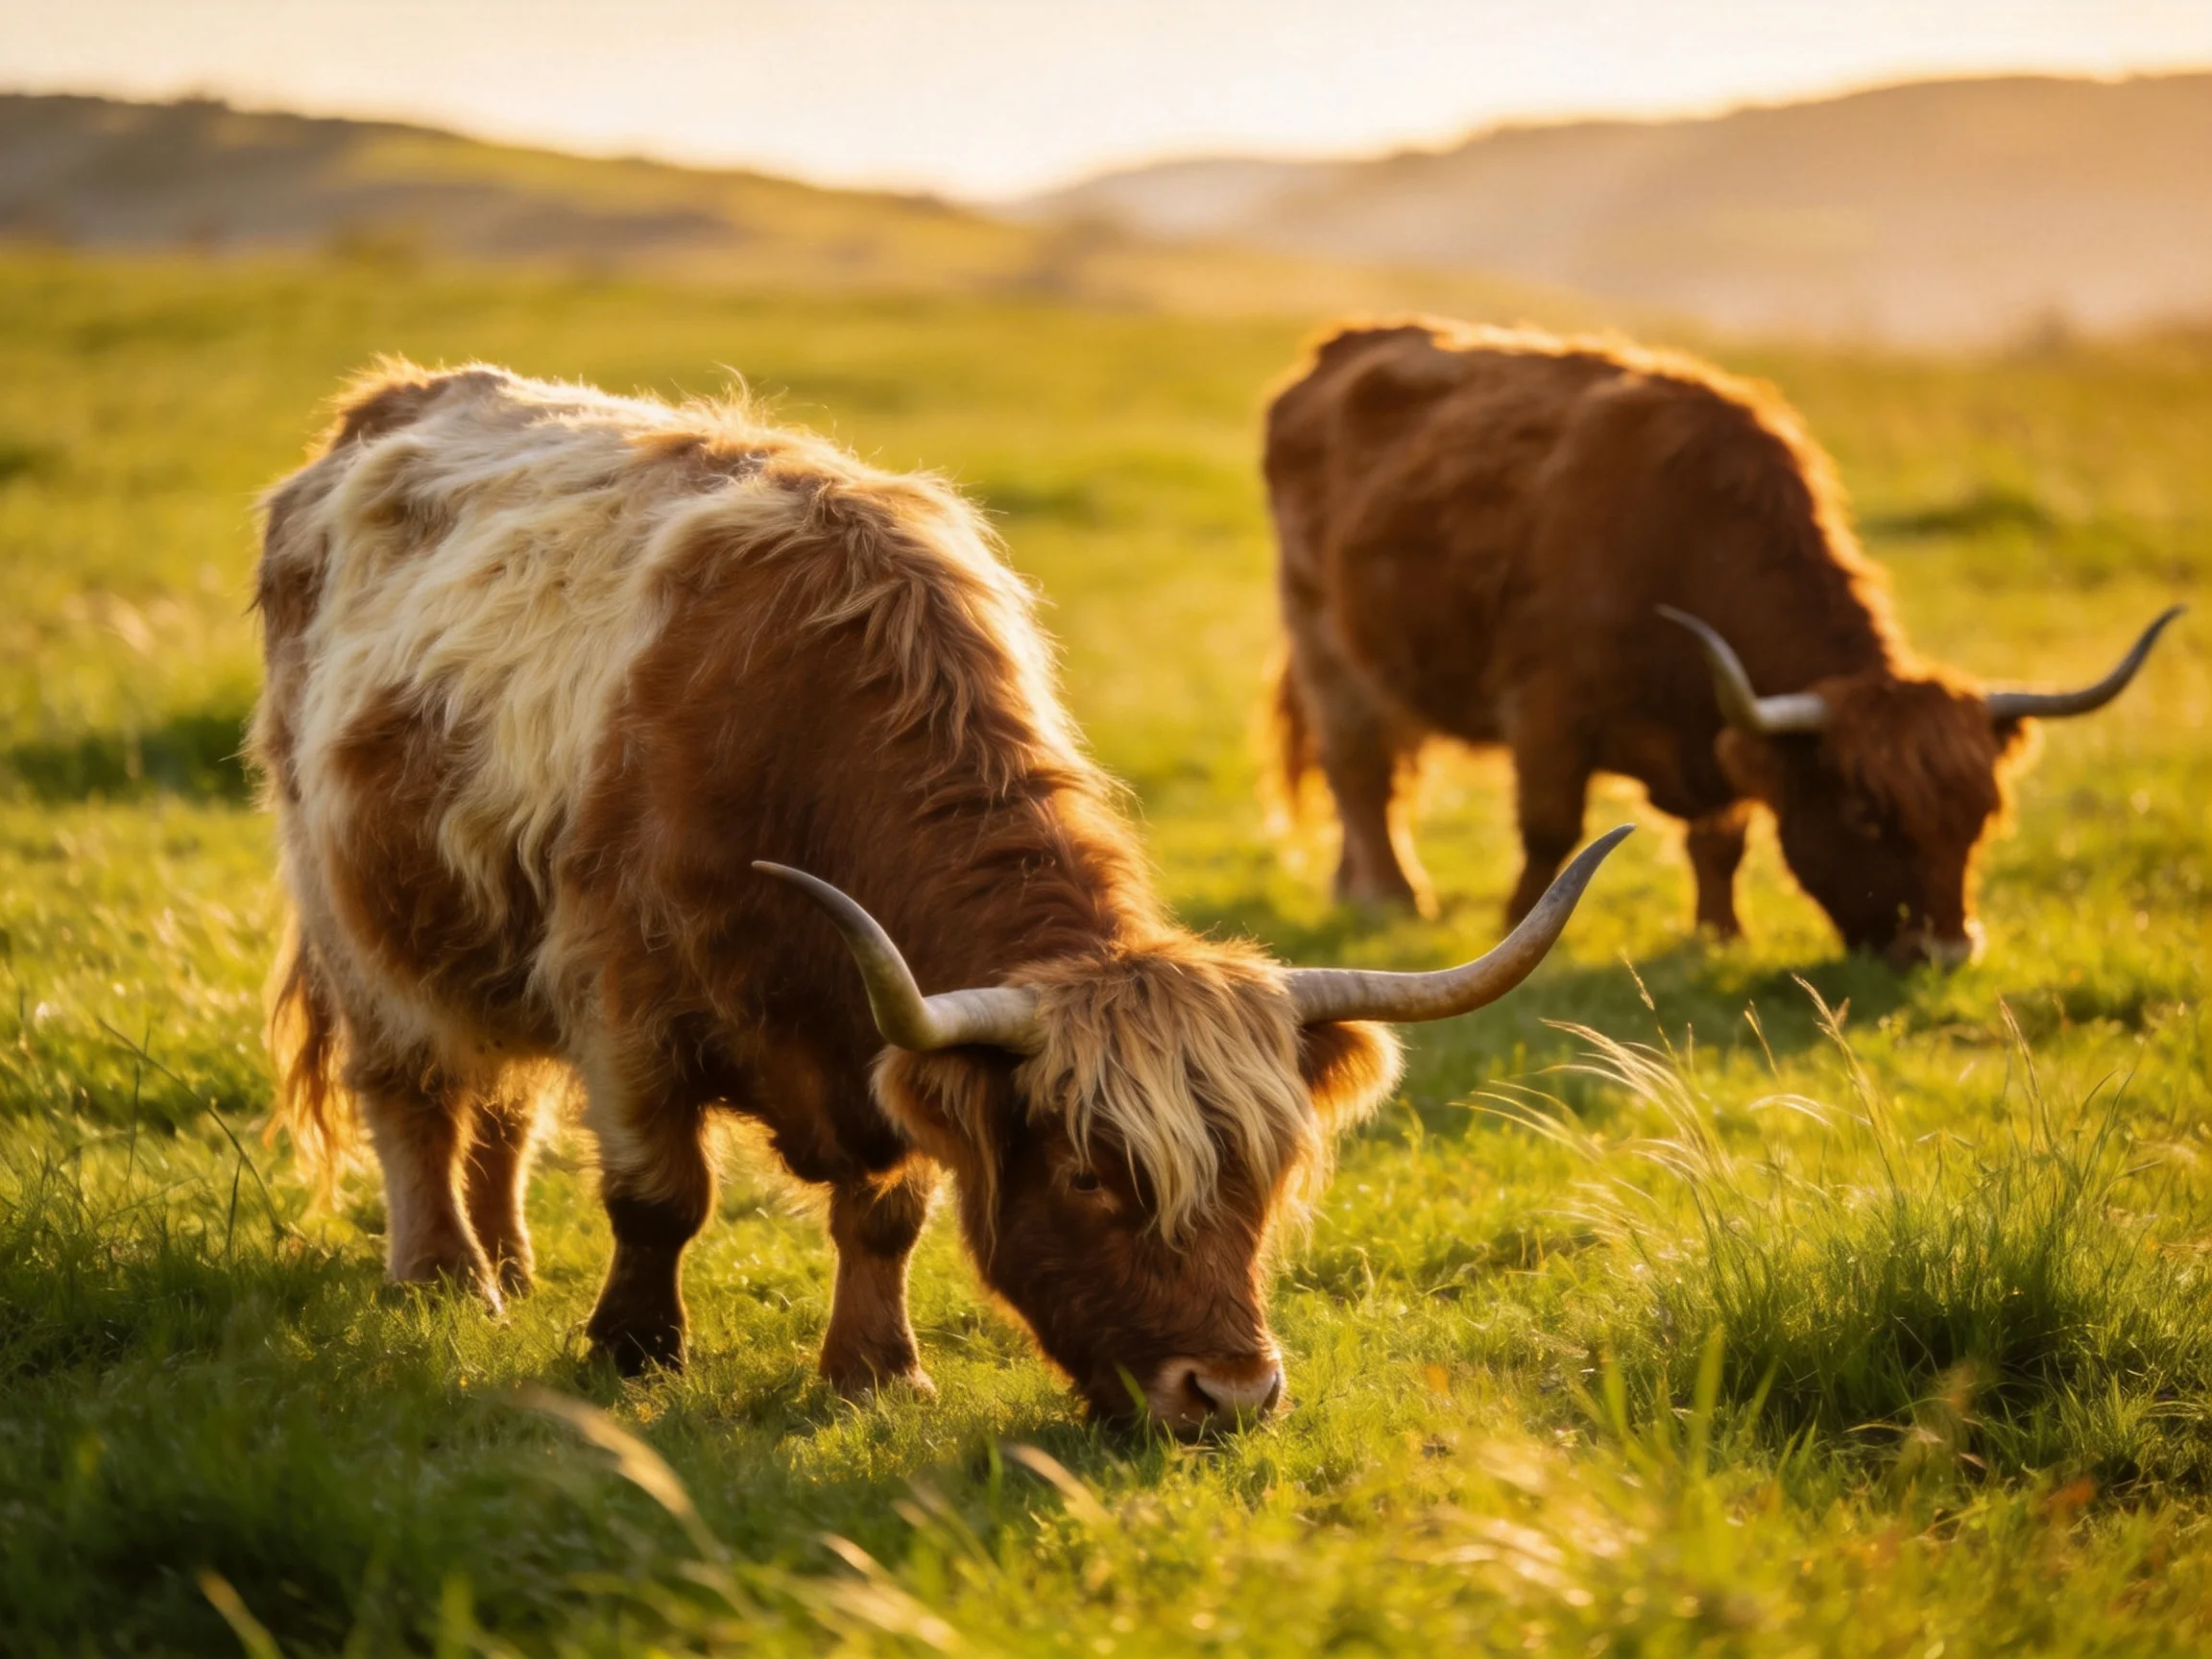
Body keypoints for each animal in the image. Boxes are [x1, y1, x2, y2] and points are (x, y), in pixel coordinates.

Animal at [251, 361, 1629, 1434]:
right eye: (1089, 1175)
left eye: (1266, 1174)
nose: (1230, 1396)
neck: (796, 744)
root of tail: (383, 407)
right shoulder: (626, 1000)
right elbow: (661, 1197)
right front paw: (635, 1353)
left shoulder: (884, 1040)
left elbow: (888, 1216)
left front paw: (876, 1372)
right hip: (351, 912)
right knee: (414, 1097)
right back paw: (445, 1276)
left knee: (502, 1104)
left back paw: (510, 1261)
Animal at [1265, 320, 2180, 968]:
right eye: (1865, 812)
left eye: (1981, 813)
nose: (1946, 951)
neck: (1684, 546)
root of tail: (1340, 348)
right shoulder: (1548, 711)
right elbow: (1552, 830)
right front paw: (1515, 922)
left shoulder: (1716, 729)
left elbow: (1722, 842)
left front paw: (1720, 933)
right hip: (1325, 644)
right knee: (1360, 773)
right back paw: (1394, 897)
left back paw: (1353, 888)